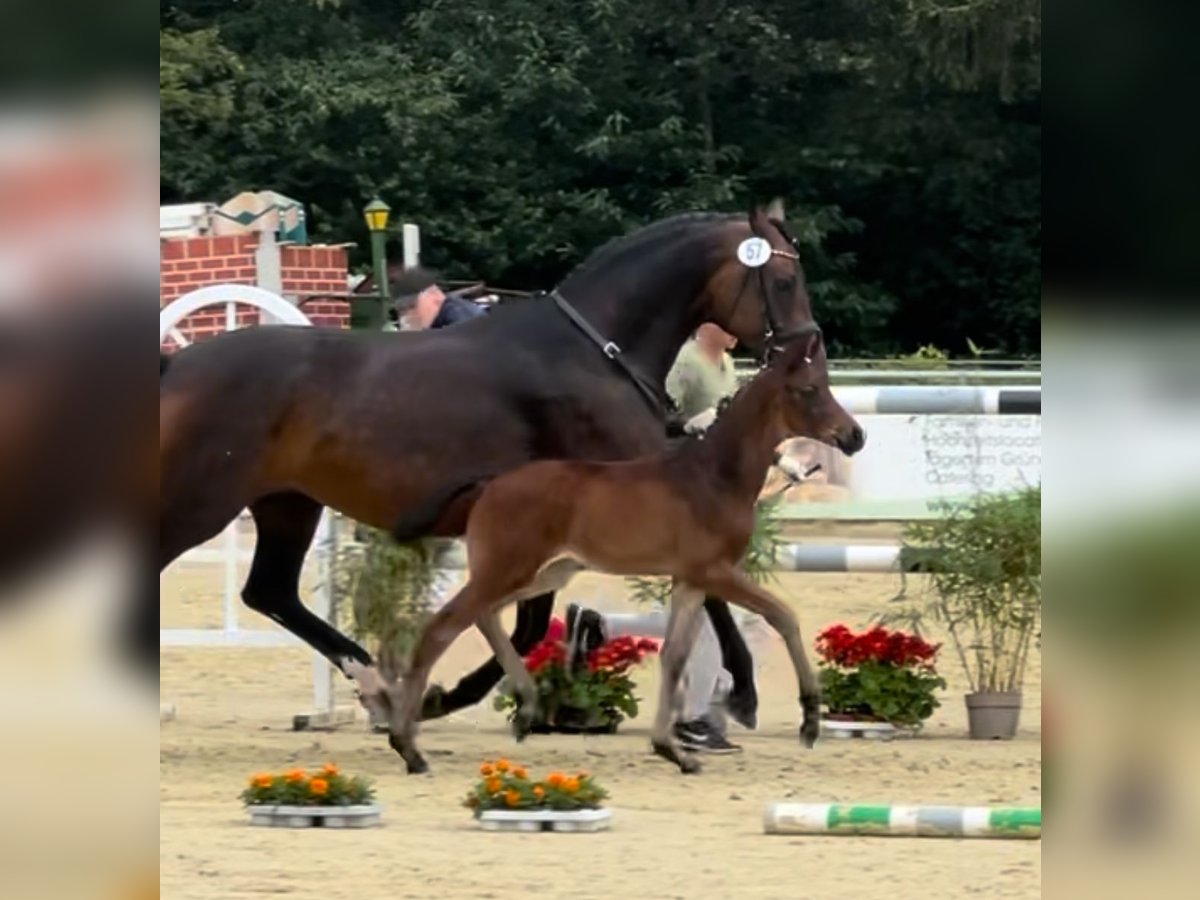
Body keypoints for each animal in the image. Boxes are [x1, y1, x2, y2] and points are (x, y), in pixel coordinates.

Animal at [157, 207, 816, 729]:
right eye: (784, 280)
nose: (808, 351)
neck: (596, 355)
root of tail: (176, 365)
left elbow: (528, 624)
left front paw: (442, 698)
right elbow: (707, 595)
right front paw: (745, 690)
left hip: (287, 502)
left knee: (270, 591)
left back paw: (376, 688)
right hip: (201, 503)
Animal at [350, 331, 868, 777]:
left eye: (825, 387)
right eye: (808, 390)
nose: (855, 436)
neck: (713, 476)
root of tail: (490, 483)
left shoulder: (689, 580)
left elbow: (675, 655)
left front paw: (673, 750)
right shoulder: (716, 571)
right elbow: (784, 616)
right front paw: (810, 721)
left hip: (547, 571)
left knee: (486, 617)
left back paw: (526, 707)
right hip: (509, 569)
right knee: (442, 629)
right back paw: (409, 747)